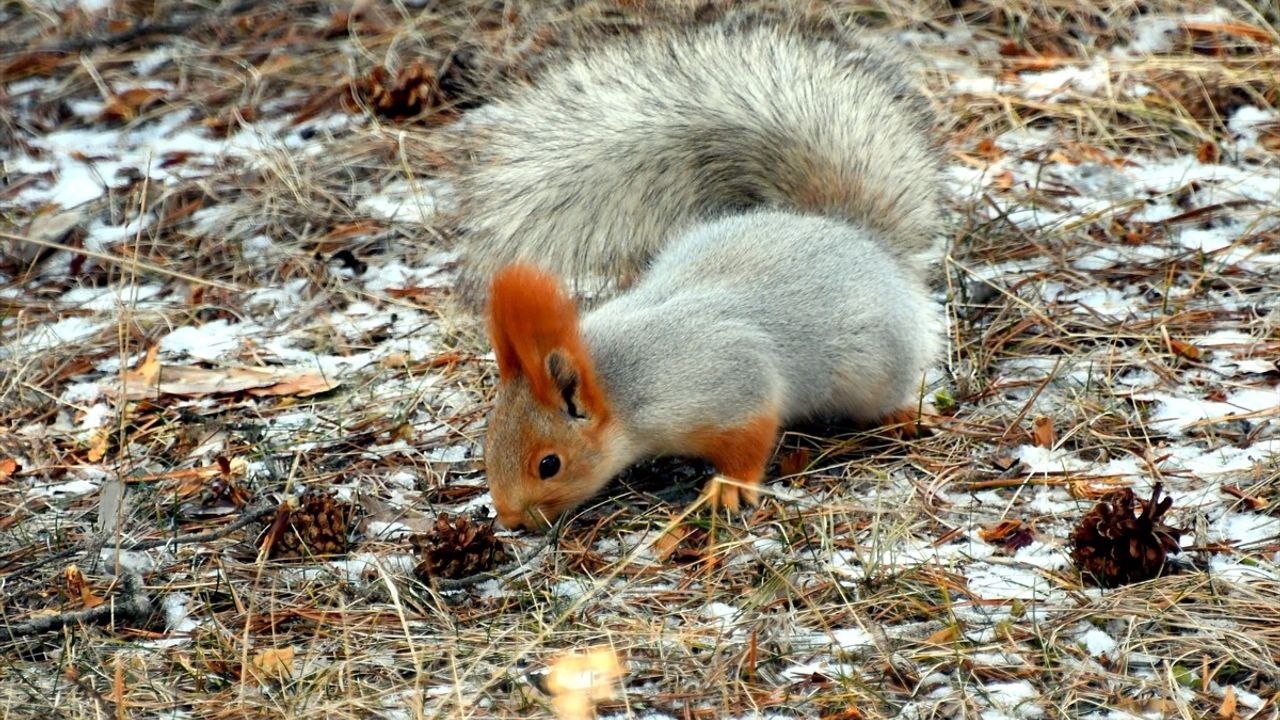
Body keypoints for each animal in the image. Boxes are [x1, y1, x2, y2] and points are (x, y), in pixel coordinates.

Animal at [445, 23, 947, 527]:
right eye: (487, 442)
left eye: (549, 464)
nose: (510, 519)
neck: (623, 386)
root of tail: (854, 235)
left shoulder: (732, 383)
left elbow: (750, 440)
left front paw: (730, 487)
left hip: (878, 369)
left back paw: (903, 414)